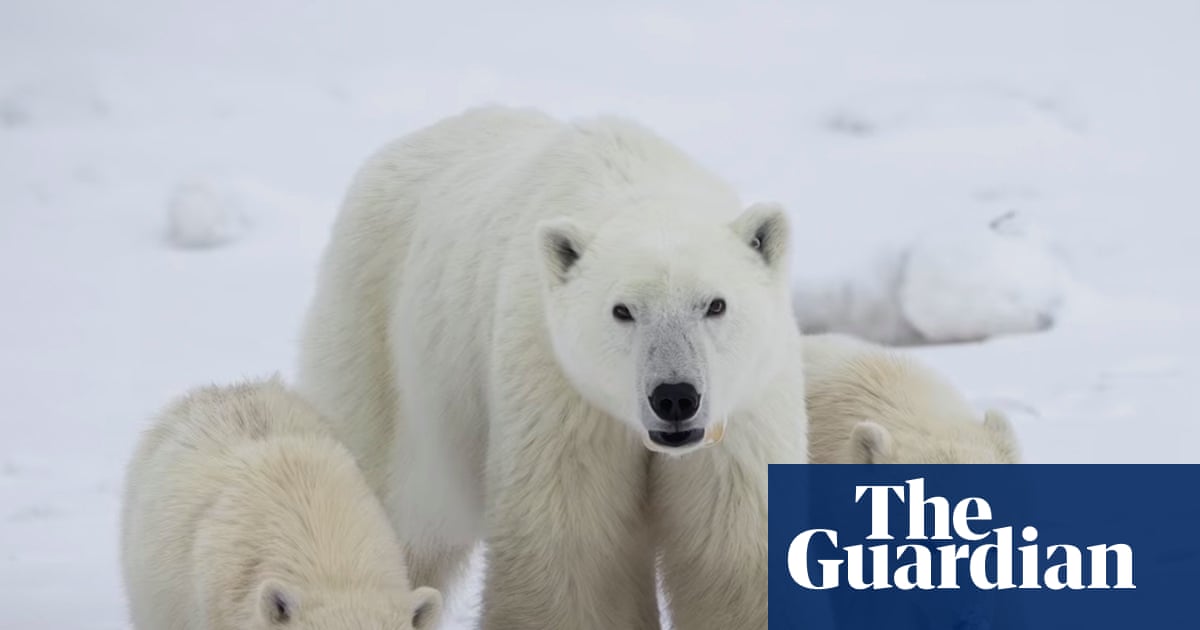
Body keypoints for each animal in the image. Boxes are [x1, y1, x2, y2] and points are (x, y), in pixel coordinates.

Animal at [296, 106, 808, 629]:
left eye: (715, 304)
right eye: (622, 310)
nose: (675, 397)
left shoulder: (742, 415)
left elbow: (734, 557)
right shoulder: (558, 391)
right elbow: (570, 557)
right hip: (382, 353)